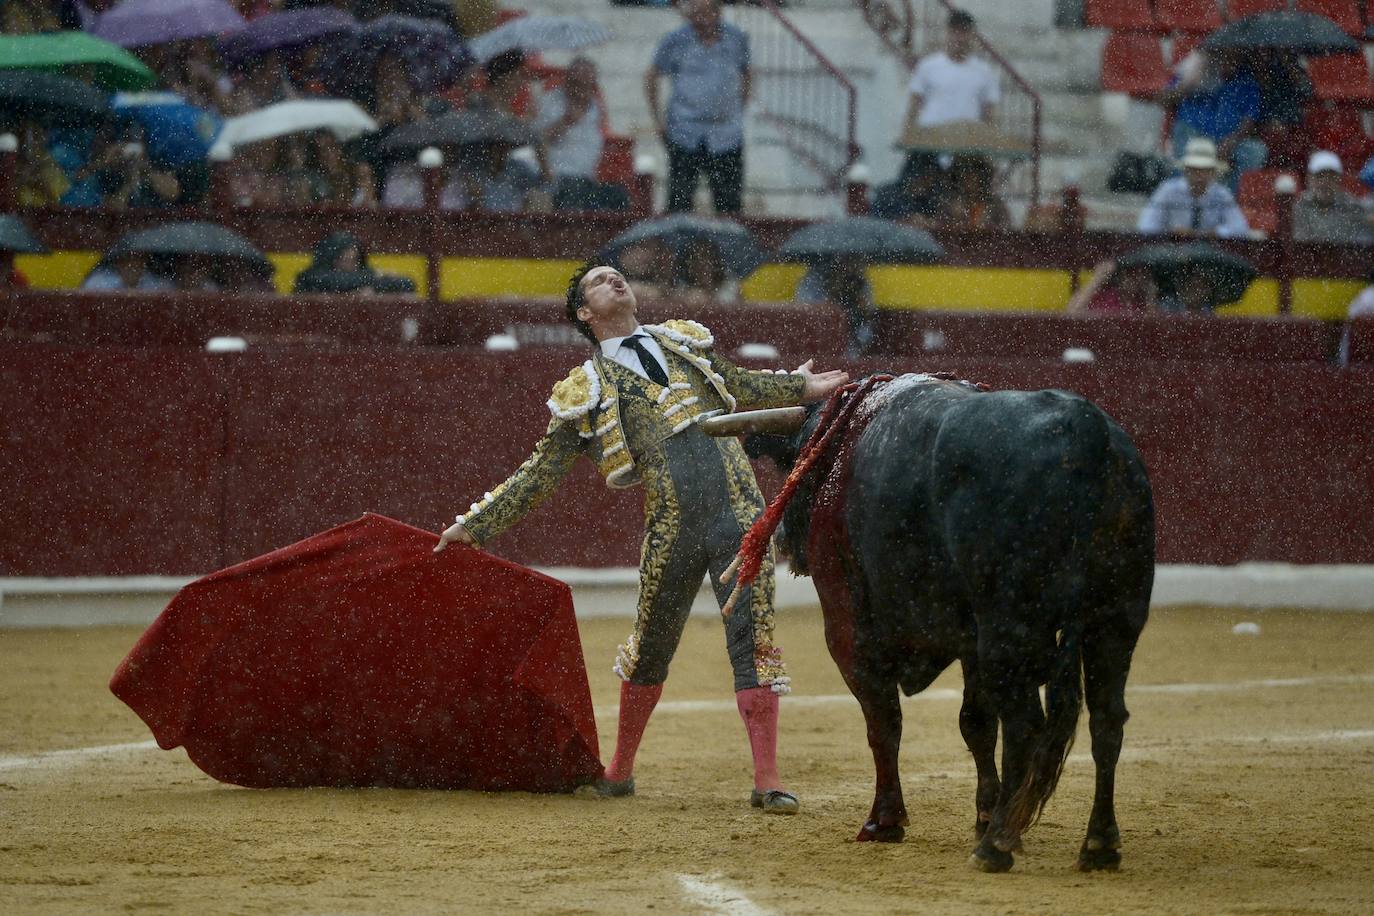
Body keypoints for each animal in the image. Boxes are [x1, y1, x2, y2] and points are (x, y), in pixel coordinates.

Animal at [741, 373, 1148, 873]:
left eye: (797, 456)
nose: (780, 539)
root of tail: (1085, 432)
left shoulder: (849, 631)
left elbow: (884, 722)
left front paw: (885, 821)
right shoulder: (971, 641)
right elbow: (975, 722)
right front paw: (985, 811)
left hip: (1009, 629)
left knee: (1026, 724)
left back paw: (997, 846)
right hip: (1116, 621)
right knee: (1107, 719)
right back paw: (1097, 844)